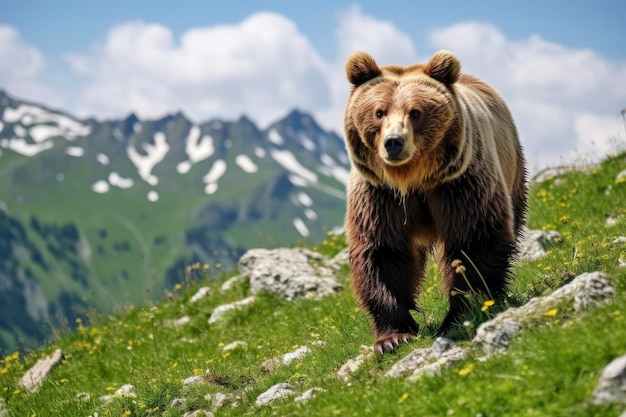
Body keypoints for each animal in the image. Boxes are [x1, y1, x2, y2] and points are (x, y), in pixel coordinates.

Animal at [344, 50, 524, 352]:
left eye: (415, 112)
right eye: (379, 112)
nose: (394, 142)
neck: (413, 179)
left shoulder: (459, 183)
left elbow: (473, 242)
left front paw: (461, 314)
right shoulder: (379, 194)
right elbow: (381, 250)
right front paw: (393, 337)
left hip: (512, 165)